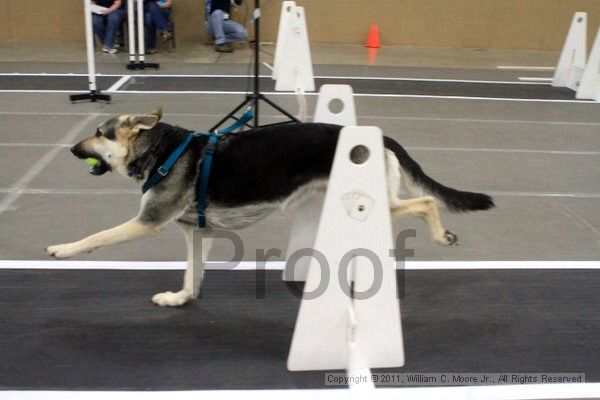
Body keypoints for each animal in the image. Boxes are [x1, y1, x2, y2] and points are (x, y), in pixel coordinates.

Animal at [47, 106, 494, 306]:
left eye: (99, 133)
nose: (71, 149)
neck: (161, 151)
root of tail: (379, 136)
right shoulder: (198, 232)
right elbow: (192, 275)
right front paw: (181, 298)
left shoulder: (146, 221)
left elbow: (95, 237)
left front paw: (63, 249)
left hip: (375, 203)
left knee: (426, 201)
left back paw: (443, 235)